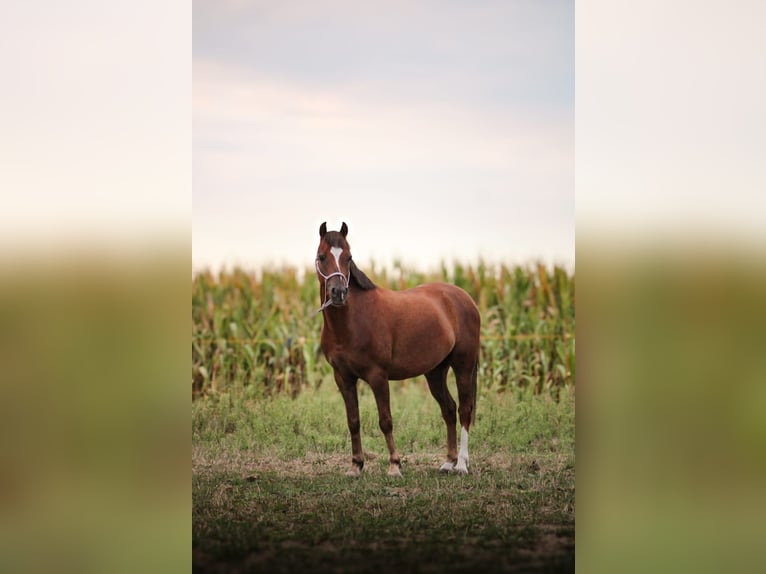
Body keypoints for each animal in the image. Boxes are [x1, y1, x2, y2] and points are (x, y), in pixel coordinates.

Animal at [316, 223, 484, 480]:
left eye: (349, 257)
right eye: (322, 256)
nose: (338, 293)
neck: (352, 321)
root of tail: (465, 298)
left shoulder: (378, 376)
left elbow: (385, 420)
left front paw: (395, 466)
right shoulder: (343, 378)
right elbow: (353, 421)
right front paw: (356, 466)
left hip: (463, 364)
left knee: (465, 409)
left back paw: (462, 465)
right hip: (435, 371)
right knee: (449, 409)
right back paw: (448, 462)